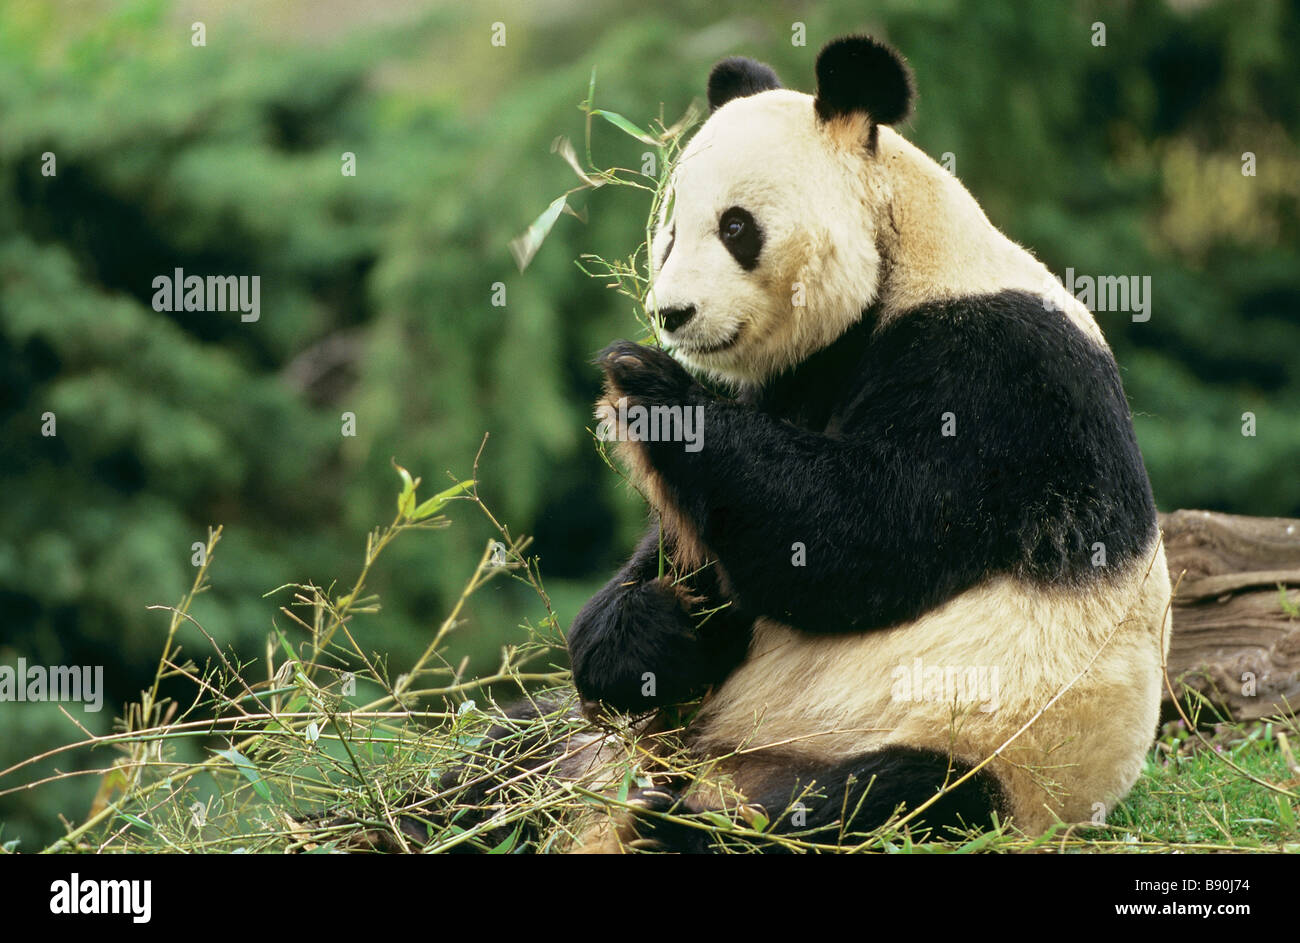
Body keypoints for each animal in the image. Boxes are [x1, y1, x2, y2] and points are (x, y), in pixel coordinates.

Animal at [462, 34, 1175, 853]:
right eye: (669, 230)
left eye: (736, 227)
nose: (672, 314)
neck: (906, 254)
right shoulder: (796, 380)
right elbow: (708, 549)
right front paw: (637, 636)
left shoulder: (1000, 375)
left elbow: (856, 535)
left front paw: (646, 382)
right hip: (607, 746)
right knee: (502, 757)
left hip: (990, 759)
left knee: (870, 805)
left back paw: (669, 826)